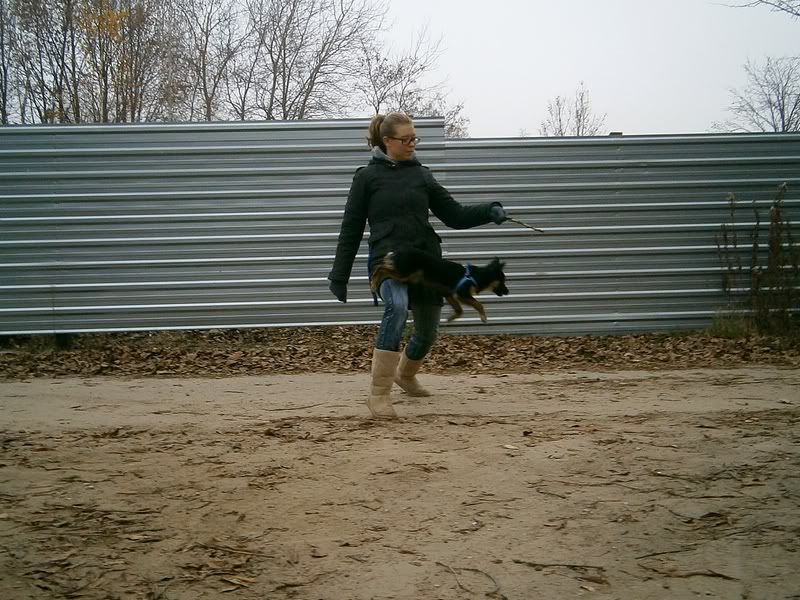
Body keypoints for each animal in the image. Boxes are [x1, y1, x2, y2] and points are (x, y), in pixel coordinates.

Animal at [370, 248, 509, 322]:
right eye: (503, 281)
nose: (508, 292)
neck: (476, 276)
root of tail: (396, 252)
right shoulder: (462, 294)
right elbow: (479, 304)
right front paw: (483, 317)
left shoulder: (448, 294)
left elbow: (460, 310)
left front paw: (451, 317)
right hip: (405, 273)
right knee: (380, 268)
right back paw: (373, 282)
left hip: (406, 274)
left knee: (383, 266)